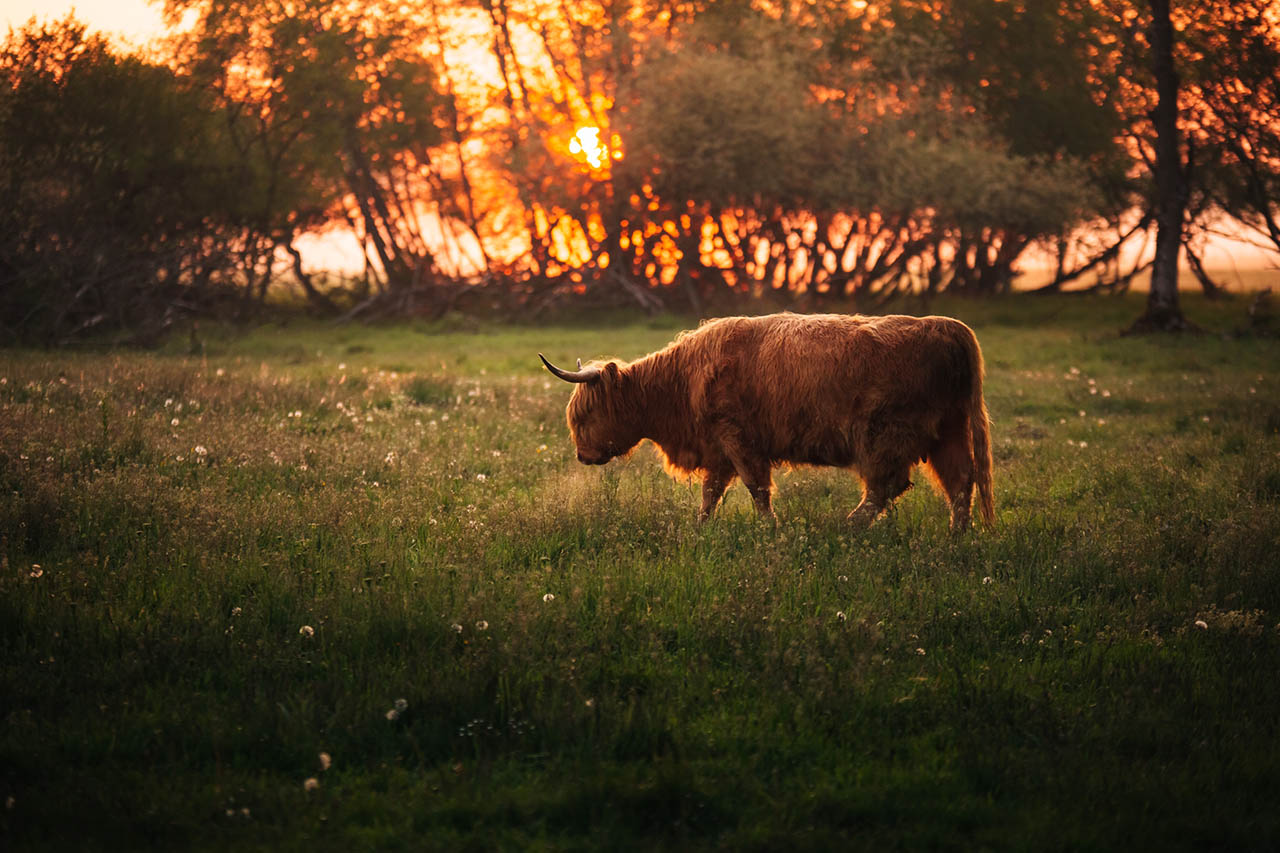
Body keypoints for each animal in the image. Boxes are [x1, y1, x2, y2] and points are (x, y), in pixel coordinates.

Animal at [535, 308, 993, 527]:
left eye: (585, 413)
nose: (582, 455)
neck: (682, 382)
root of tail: (946, 327)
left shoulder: (737, 438)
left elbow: (756, 489)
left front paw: (772, 530)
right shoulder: (719, 447)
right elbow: (711, 494)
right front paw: (699, 530)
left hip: (885, 435)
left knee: (887, 487)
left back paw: (844, 528)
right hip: (949, 432)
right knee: (960, 484)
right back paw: (956, 539)